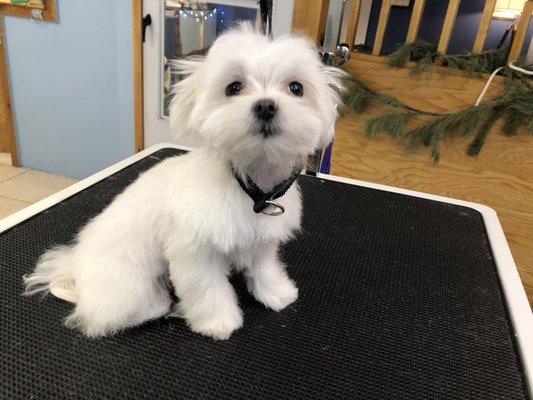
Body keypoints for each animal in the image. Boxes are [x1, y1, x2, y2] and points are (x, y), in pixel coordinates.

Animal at [22, 23, 342, 340]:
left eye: (296, 88)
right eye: (234, 87)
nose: (265, 106)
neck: (250, 186)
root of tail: (74, 266)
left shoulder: (262, 240)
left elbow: (264, 268)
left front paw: (275, 293)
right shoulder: (194, 253)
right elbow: (208, 289)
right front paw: (218, 321)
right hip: (129, 282)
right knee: (113, 313)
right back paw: (159, 305)